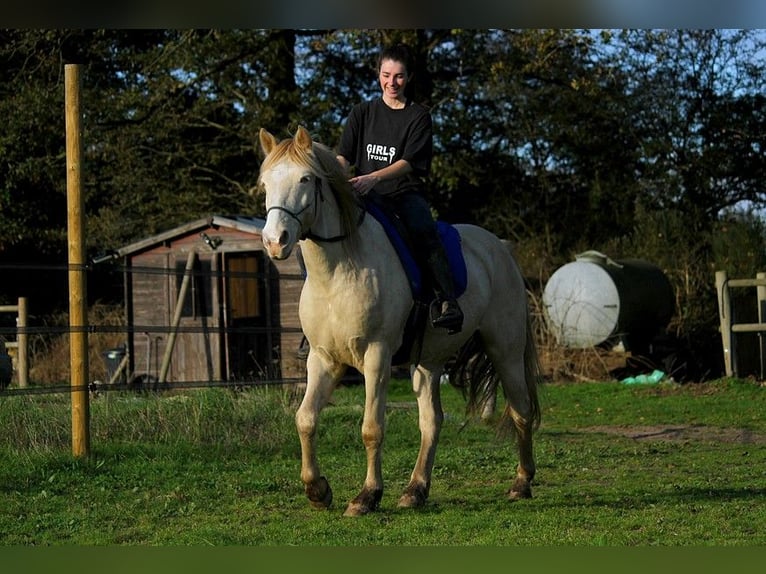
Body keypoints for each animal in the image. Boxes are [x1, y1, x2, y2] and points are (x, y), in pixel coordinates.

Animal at [258, 128, 540, 520]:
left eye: (305, 179)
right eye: (265, 183)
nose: (274, 242)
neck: (338, 271)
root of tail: (500, 247)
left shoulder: (377, 357)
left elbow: (372, 428)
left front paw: (366, 496)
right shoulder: (323, 359)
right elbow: (306, 418)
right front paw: (318, 490)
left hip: (506, 351)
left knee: (521, 410)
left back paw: (521, 483)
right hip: (428, 362)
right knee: (432, 421)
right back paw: (415, 490)